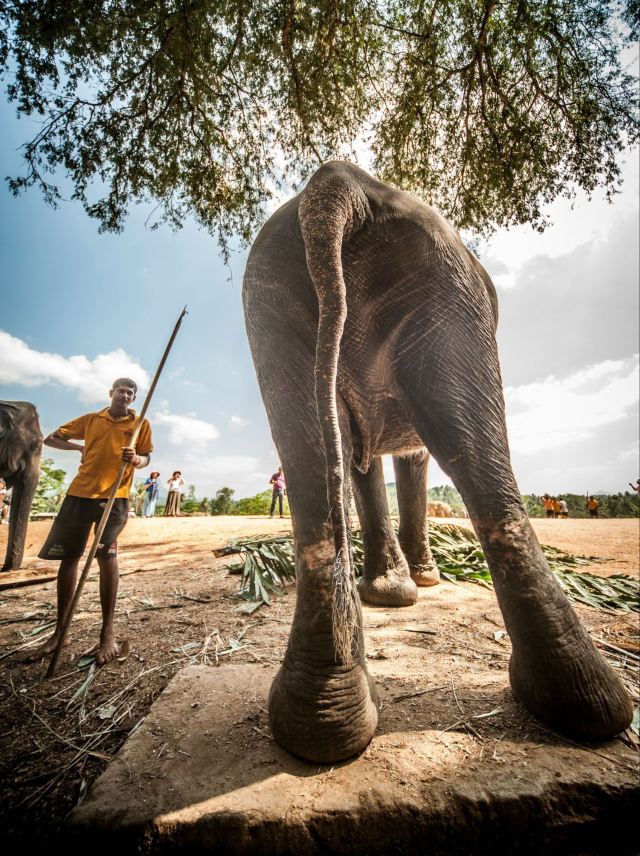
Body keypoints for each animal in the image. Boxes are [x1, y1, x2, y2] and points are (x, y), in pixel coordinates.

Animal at [241, 160, 636, 764]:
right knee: (468, 443)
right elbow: (406, 456)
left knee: (313, 449)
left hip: (277, 293)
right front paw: (418, 582)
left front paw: (400, 588)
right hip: (446, 294)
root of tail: (338, 187)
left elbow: (365, 460)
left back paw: (322, 725)